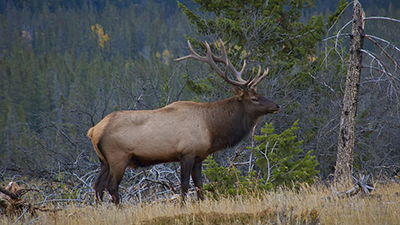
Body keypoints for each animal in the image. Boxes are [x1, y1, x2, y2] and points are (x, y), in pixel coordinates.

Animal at [87, 39, 280, 205]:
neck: (212, 129)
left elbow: (200, 185)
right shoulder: (187, 153)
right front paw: (182, 206)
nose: (276, 105)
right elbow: (185, 185)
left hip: (104, 160)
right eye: (254, 98)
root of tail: (93, 130)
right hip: (118, 157)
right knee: (111, 186)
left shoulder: (199, 157)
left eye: (260, 94)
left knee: (98, 186)